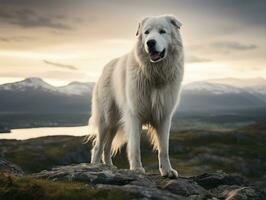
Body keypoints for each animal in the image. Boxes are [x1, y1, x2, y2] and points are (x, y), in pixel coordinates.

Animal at [88, 15, 184, 178]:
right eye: (146, 32)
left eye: (162, 31)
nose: (150, 43)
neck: (154, 74)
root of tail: (106, 66)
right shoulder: (135, 116)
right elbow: (135, 147)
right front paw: (137, 169)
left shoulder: (164, 117)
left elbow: (164, 149)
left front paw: (167, 171)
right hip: (106, 119)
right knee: (98, 146)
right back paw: (95, 167)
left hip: (115, 123)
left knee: (107, 146)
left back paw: (109, 166)